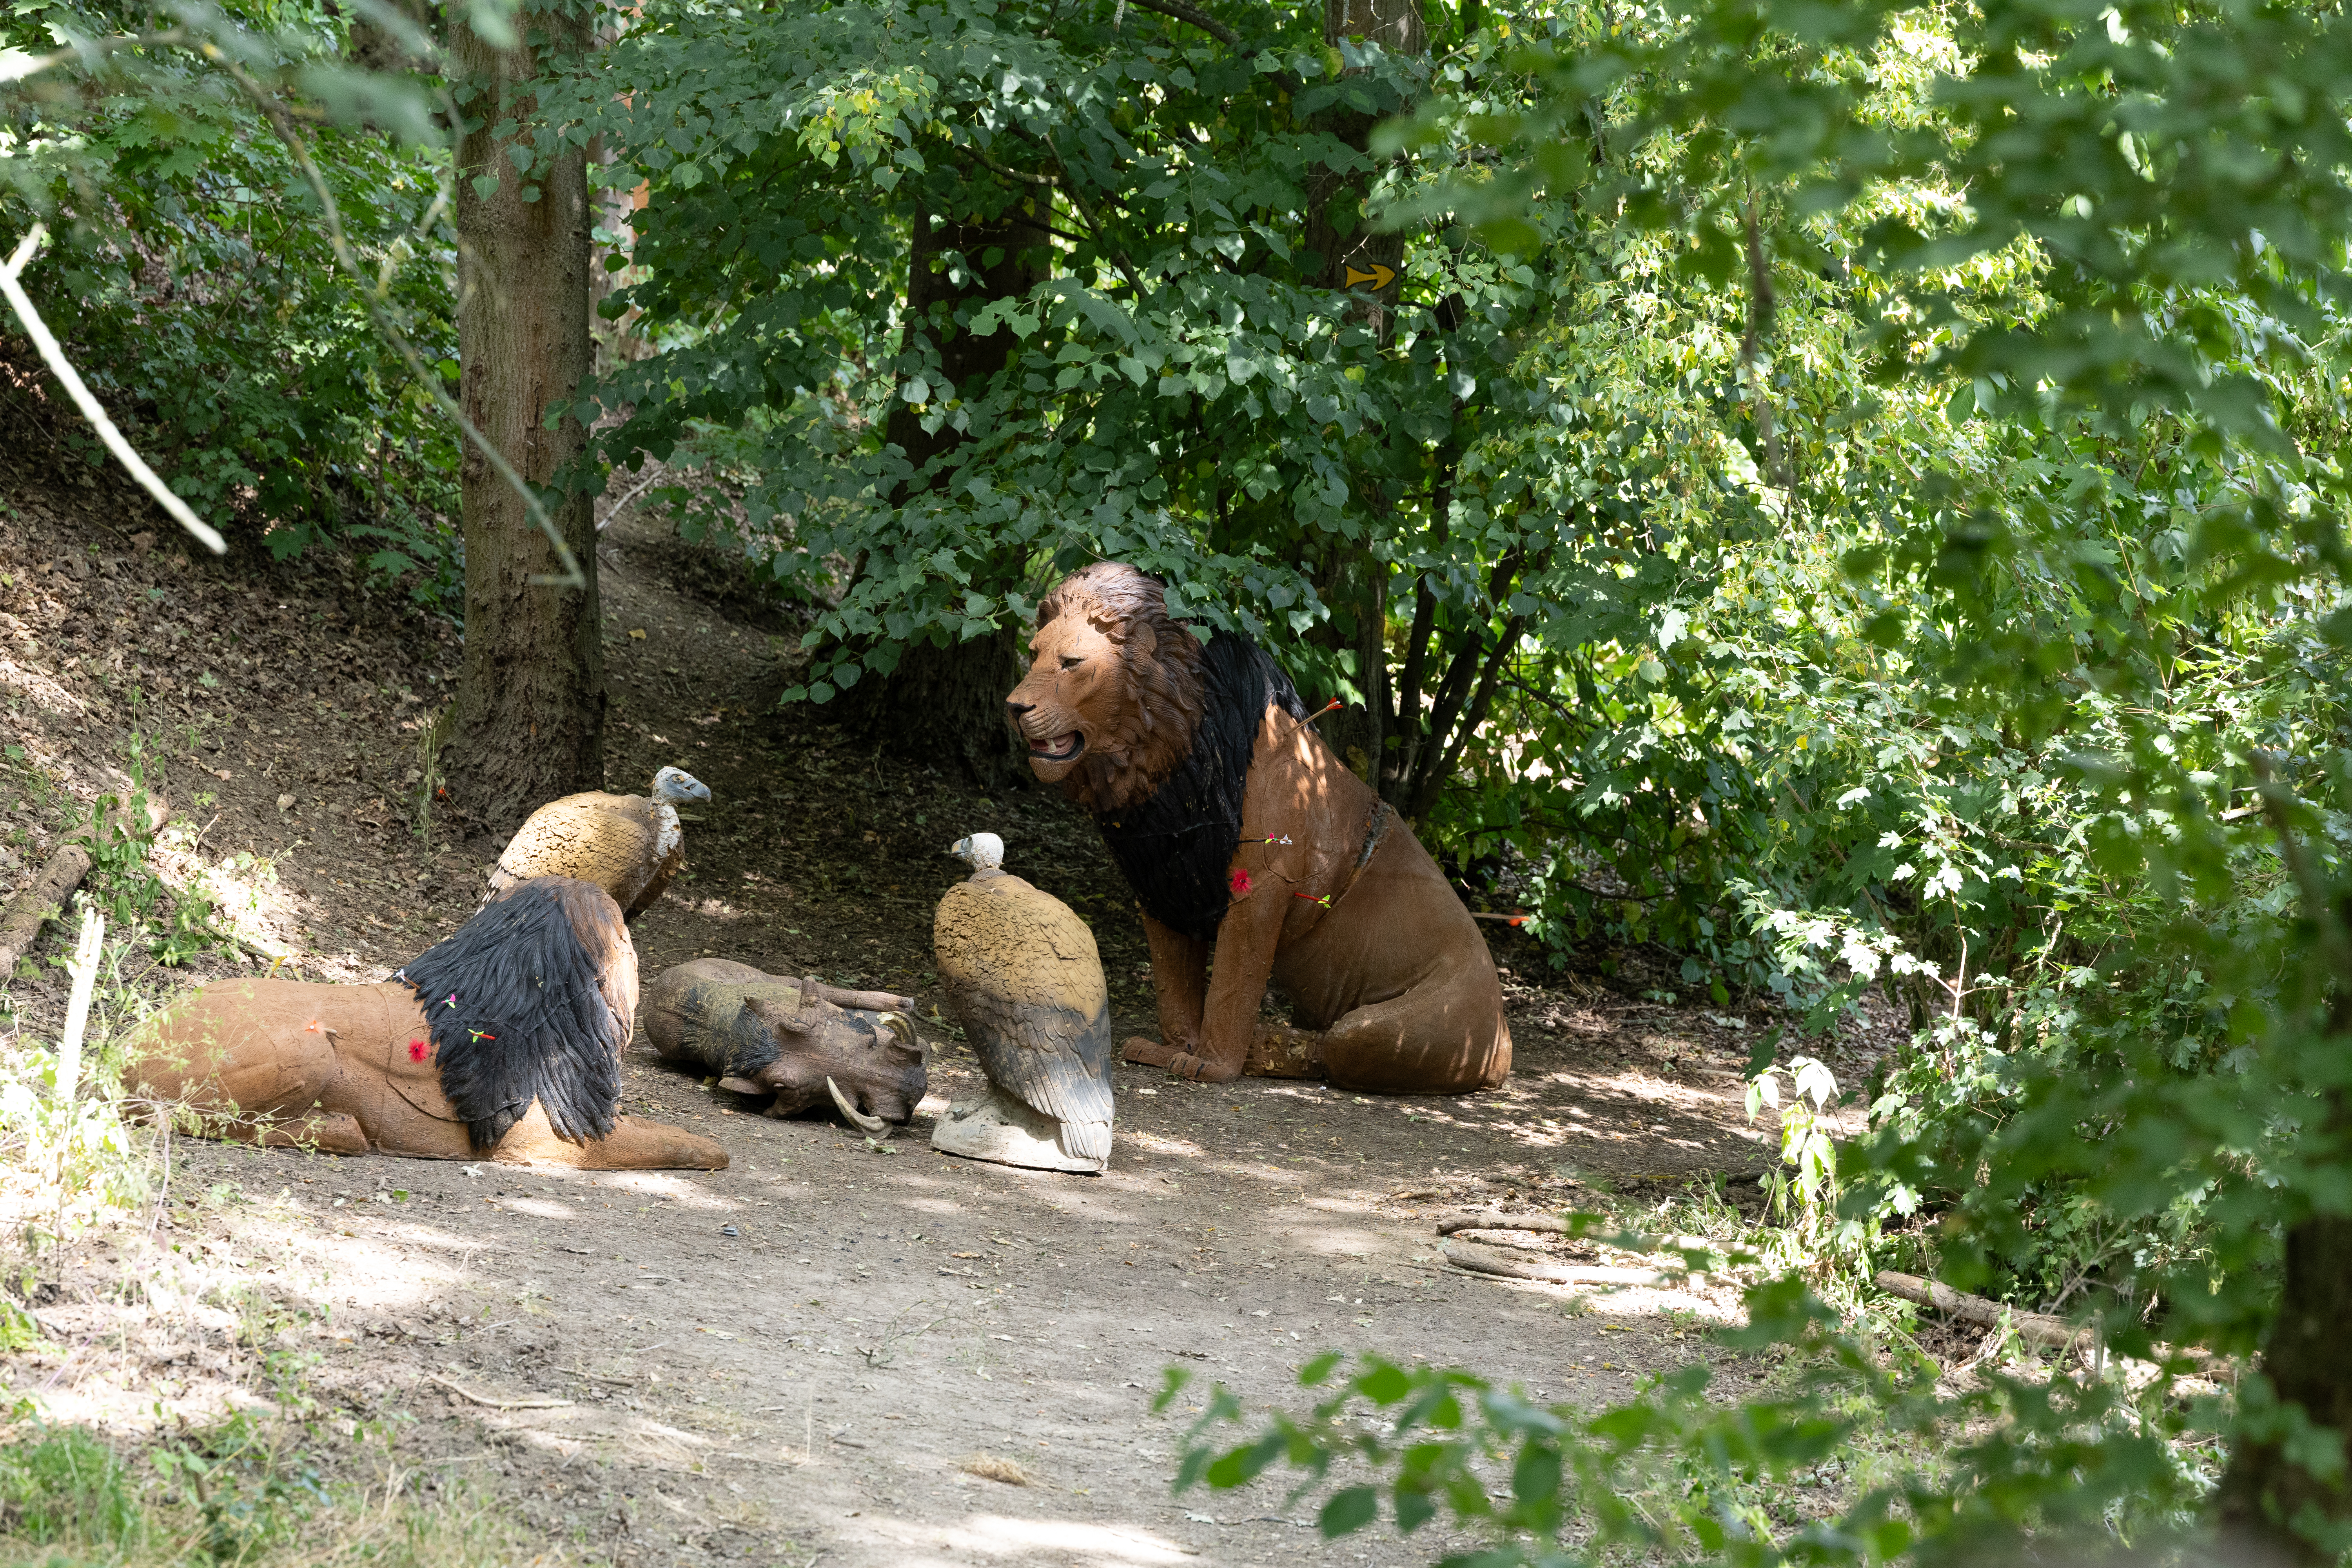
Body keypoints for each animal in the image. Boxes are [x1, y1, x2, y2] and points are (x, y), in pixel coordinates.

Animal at [1004, 563, 1512, 1093]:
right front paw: (1170, 1049)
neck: (1171, 761)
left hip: (1416, 1029)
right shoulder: (1161, 883)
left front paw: (1210, 1063)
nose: (1014, 707)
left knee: (1337, 1046)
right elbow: (1173, 987)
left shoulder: (1263, 884)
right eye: (1034, 654)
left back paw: (1262, 1047)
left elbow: (1232, 985)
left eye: (1071, 662)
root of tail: (1503, 1046)